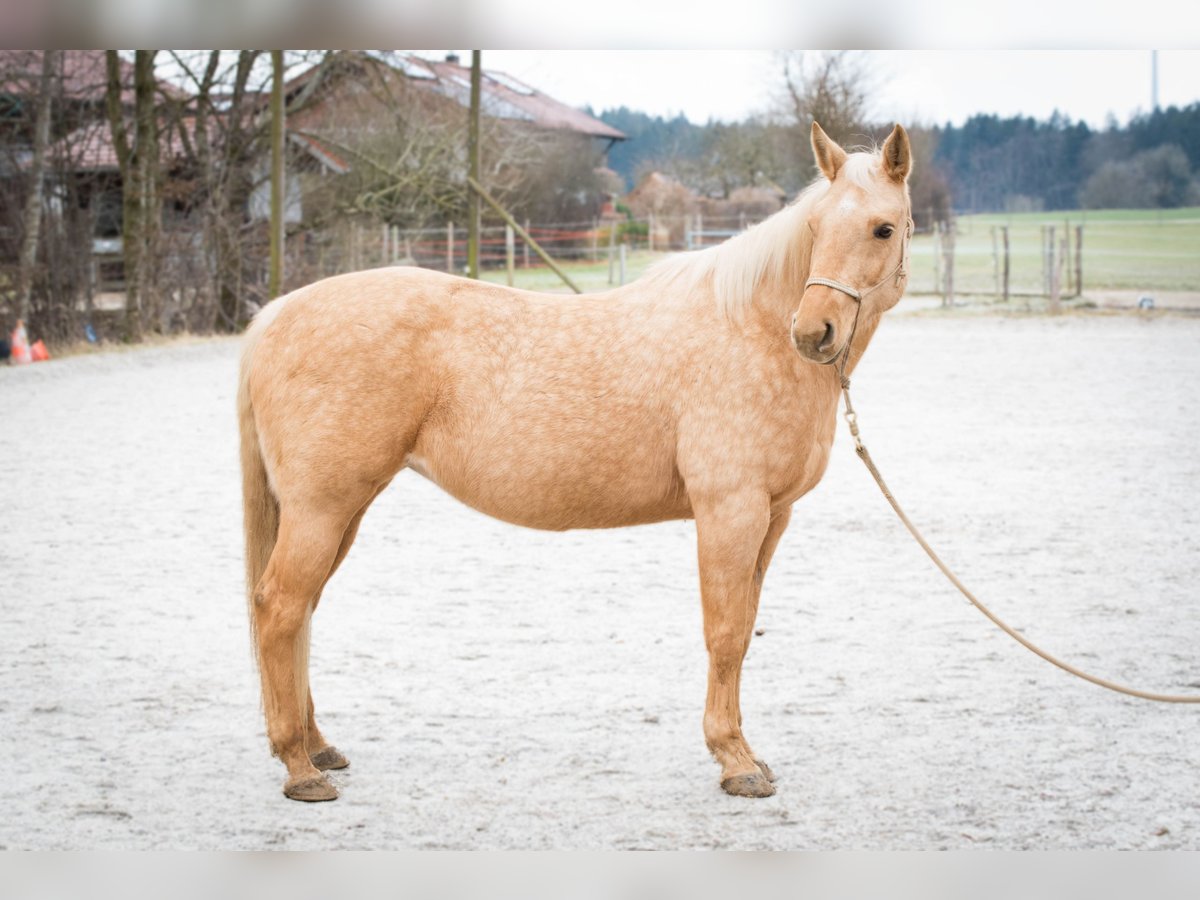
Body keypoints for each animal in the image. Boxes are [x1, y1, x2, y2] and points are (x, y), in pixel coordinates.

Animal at [241, 121, 916, 801]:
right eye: (816, 228)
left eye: (883, 228)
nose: (813, 333)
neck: (747, 329)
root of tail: (275, 315)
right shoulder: (731, 511)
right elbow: (724, 633)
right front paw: (736, 761)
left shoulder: (772, 517)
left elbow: (745, 628)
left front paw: (746, 752)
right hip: (323, 507)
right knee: (280, 608)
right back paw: (298, 766)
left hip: (340, 509)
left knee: (301, 611)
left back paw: (317, 747)